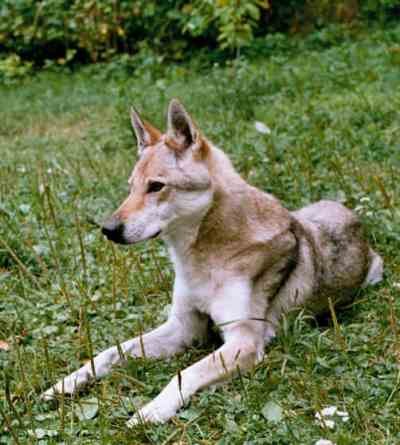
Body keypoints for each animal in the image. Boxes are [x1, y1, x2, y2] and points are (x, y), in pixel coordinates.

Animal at [42, 97, 382, 424]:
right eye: (130, 187)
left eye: (156, 186)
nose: (108, 230)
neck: (204, 258)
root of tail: (349, 212)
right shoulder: (184, 327)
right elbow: (109, 353)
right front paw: (68, 382)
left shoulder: (243, 341)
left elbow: (185, 373)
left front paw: (152, 410)